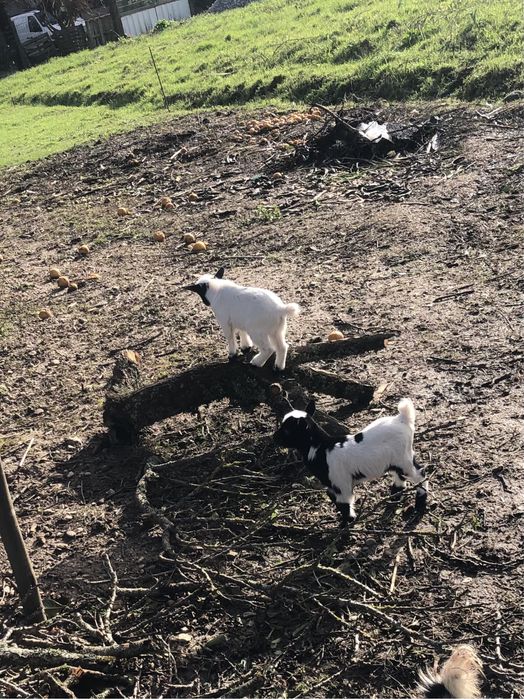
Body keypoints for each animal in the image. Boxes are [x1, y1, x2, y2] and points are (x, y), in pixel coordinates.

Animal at [273, 398, 428, 526]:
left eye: (287, 430)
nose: (275, 437)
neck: (321, 448)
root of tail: (403, 418)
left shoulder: (341, 483)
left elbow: (344, 503)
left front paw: (345, 525)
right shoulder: (331, 485)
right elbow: (335, 500)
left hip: (404, 458)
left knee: (420, 474)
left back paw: (419, 505)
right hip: (397, 459)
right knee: (400, 475)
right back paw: (394, 496)